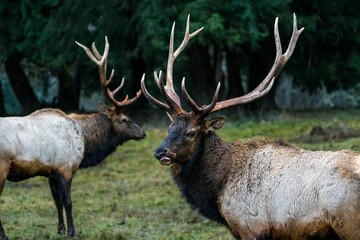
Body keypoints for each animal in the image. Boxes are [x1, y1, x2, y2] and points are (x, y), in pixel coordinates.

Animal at [0, 36, 145, 239]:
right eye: (125, 119)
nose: (143, 133)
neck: (84, 140)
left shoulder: (51, 172)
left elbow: (57, 202)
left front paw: (60, 229)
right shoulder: (66, 167)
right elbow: (68, 201)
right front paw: (71, 231)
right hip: (2, 167)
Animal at [142, 14, 360, 239]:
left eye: (191, 132)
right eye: (170, 128)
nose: (160, 152)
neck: (218, 188)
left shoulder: (251, 226)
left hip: (349, 223)